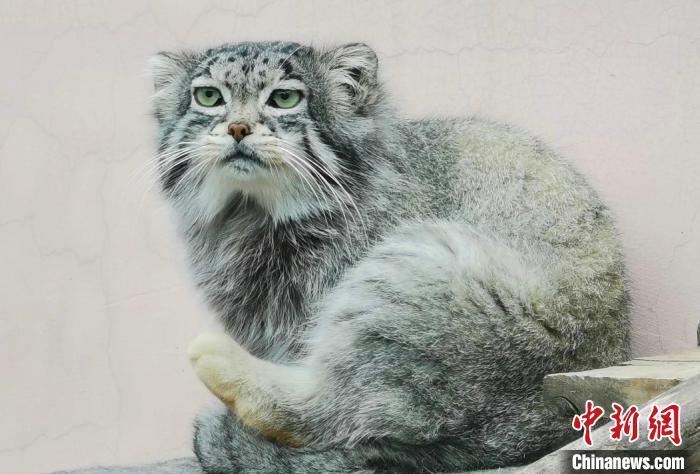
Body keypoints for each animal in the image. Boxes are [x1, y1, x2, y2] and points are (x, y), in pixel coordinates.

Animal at [149, 41, 630, 472]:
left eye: (284, 99)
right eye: (209, 97)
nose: (237, 129)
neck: (251, 216)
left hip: (414, 275)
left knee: (330, 411)